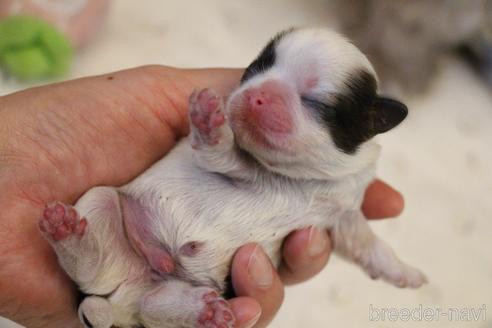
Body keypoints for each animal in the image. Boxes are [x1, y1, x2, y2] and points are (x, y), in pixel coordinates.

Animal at [37, 28, 426, 328]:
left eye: (318, 103)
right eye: (255, 69)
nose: (257, 96)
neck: (298, 174)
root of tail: (121, 300)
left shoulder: (342, 213)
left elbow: (366, 243)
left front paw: (405, 273)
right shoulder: (232, 161)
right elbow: (221, 153)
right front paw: (210, 119)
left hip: (168, 293)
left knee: (154, 309)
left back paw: (203, 312)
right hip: (102, 204)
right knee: (90, 264)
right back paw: (67, 231)